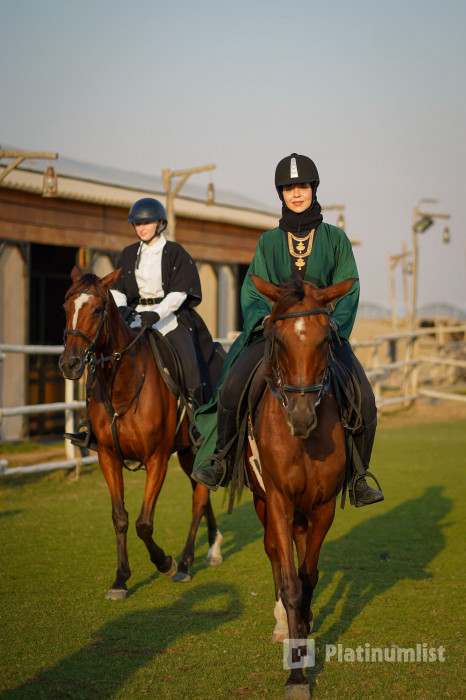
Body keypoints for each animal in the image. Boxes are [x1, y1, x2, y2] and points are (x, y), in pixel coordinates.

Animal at [58, 266, 223, 599]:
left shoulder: (157, 459)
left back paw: (185, 563)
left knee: (198, 501)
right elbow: (120, 518)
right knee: (200, 493)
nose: (69, 363)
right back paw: (211, 546)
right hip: (188, 453)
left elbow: (144, 524)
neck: (125, 384)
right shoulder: (108, 456)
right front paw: (120, 579)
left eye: (98, 309)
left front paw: (165, 562)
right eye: (66, 307)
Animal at [243, 274, 357, 700]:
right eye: (277, 338)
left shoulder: (322, 506)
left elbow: (309, 578)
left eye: (326, 339)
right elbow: (291, 582)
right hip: (265, 503)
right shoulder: (278, 499)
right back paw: (282, 623)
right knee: (276, 552)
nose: (302, 417)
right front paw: (296, 674)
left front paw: (305, 637)